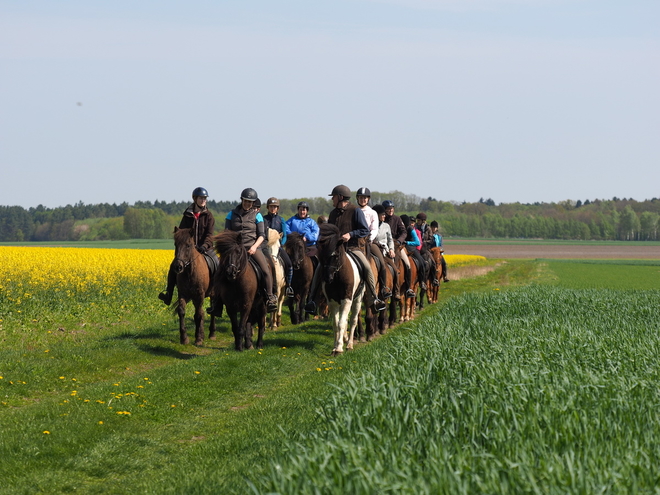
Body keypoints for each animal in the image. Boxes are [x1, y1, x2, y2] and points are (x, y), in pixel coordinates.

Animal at [316, 225, 364, 356]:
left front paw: (339, 348)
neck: (337, 277)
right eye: (322, 256)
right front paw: (335, 346)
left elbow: (342, 323)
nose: (327, 278)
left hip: (357, 300)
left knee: (353, 321)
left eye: (336, 255)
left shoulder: (347, 300)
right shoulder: (332, 302)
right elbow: (336, 324)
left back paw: (350, 344)